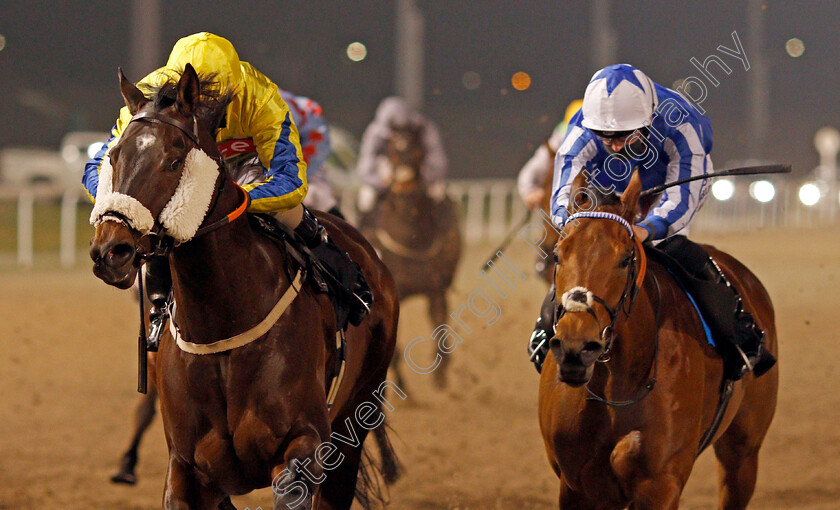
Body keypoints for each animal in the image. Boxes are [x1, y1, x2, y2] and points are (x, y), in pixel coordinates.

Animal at [88, 64, 400, 510]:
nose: (110, 250)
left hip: (355, 417)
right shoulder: (187, 467)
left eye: (173, 161)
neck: (222, 327)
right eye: (112, 157)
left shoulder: (302, 445)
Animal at [356, 125, 460, 388]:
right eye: (391, 150)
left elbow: (439, 325)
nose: (404, 189)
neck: (410, 237)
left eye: (418, 149)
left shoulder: (436, 288)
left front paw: (441, 375)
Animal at [540, 171, 776, 510]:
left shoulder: (660, 483)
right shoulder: (577, 486)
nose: (576, 348)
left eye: (626, 259)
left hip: (743, 454)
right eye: (558, 254)